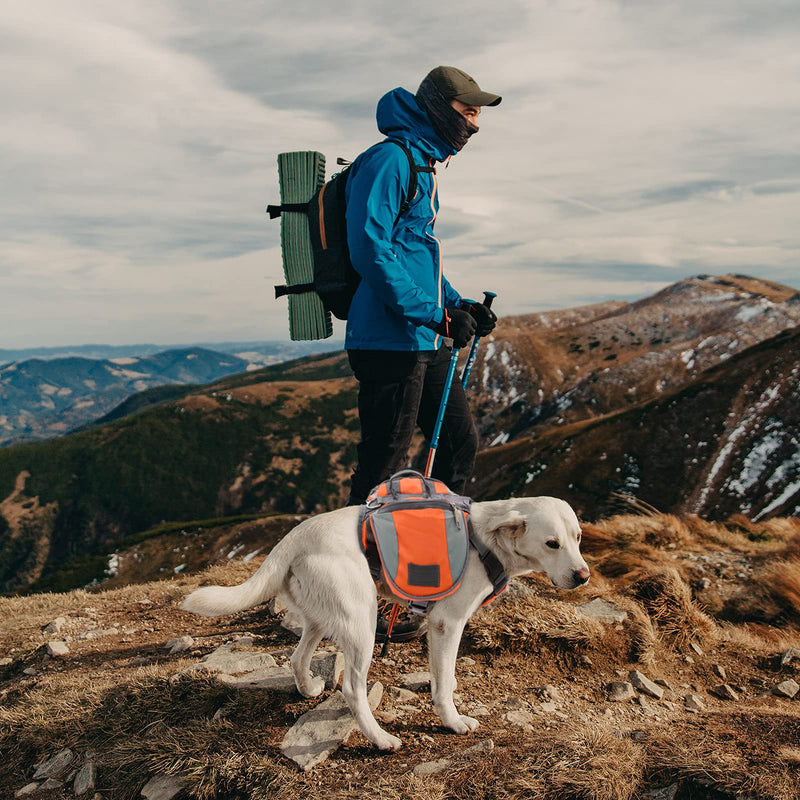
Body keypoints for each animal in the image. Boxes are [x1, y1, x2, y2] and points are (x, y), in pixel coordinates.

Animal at [184, 494, 592, 752]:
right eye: (552, 543)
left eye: (578, 537)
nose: (583, 576)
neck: (489, 541)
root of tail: (293, 538)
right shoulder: (447, 624)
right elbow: (443, 683)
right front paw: (453, 721)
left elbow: (448, 679)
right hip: (360, 624)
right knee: (352, 689)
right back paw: (380, 739)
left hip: (322, 618)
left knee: (297, 657)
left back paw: (309, 689)